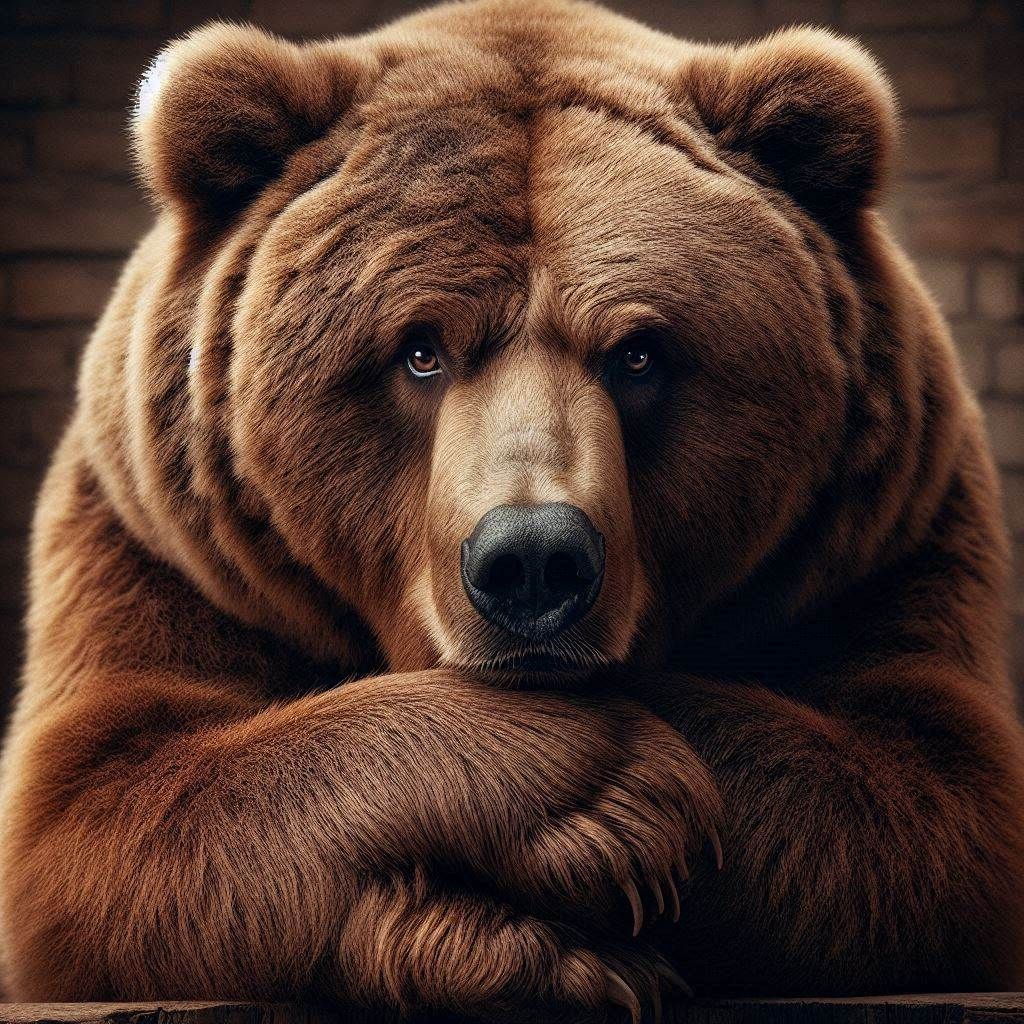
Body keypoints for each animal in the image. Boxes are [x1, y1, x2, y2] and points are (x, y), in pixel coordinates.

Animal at [1, 0, 1023, 1018]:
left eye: (640, 353)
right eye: (419, 350)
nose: (533, 560)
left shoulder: (888, 536)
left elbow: (928, 796)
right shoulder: (166, 544)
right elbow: (104, 805)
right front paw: (594, 810)